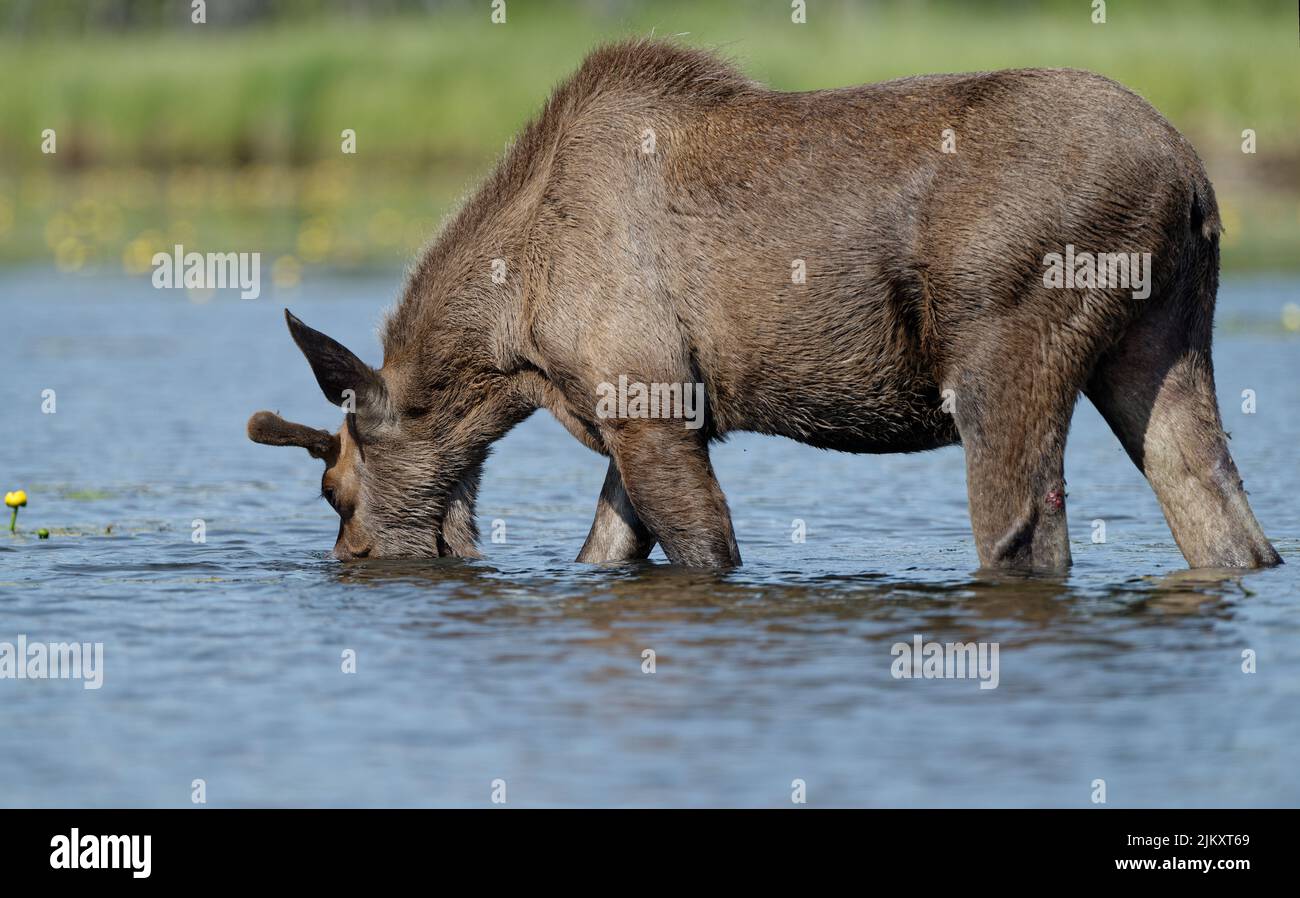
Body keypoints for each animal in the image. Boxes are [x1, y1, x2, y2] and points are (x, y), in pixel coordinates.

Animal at [245, 40, 1279, 569]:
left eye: (335, 490)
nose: (351, 557)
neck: (514, 354)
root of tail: (1194, 182)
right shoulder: (648, 415)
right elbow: (606, 548)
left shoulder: (647, 408)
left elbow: (704, 551)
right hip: (1160, 346)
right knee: (1225, 520)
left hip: (1003, 356)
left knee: (1028, 539)